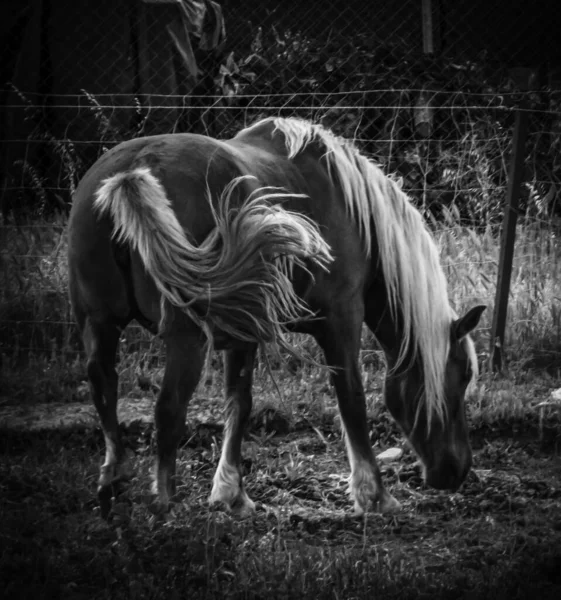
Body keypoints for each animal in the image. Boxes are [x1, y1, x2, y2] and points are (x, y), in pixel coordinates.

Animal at [66, 115, 486, 516]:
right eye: (463, 375)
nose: (458, 471)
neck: (353, 210)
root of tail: (132, 171)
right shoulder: (341, 320)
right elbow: (351, 399)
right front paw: (374, 495)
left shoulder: (244, 332)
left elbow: (239, 403)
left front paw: (232, 494)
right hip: (186, 338)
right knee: (168, 408)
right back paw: (165, 504)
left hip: (98, 324)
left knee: (103, 387)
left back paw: (113, 483)